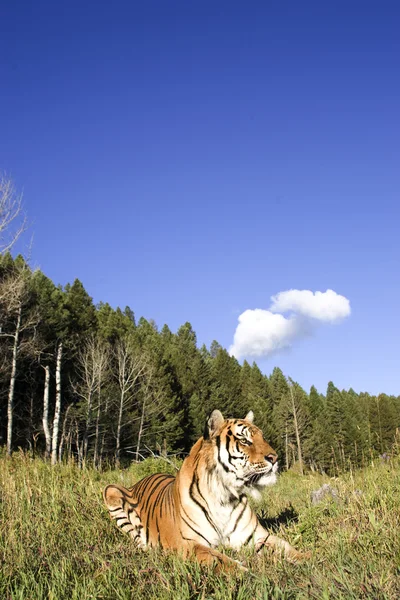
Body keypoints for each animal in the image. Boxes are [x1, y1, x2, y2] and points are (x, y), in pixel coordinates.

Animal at [103, 410, 310, 568]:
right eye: (244, 441)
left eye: (262, 437)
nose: (275, 458)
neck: (225, 496)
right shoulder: (186, 543)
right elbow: (220, 560)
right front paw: (245, 572)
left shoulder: (257, 537)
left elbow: (287, 547)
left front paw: (310, 561)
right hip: (111, 489)